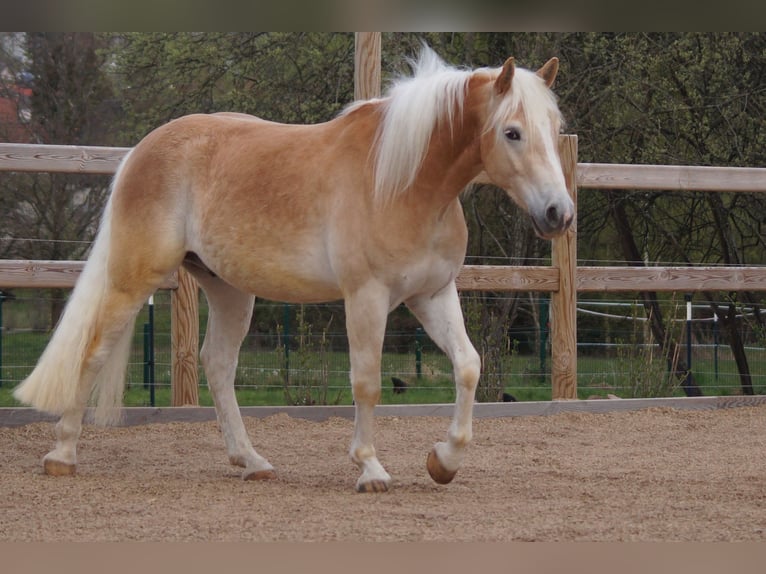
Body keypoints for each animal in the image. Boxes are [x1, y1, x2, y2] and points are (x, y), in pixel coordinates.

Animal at [14, 45, 574, 492]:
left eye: (555, 130)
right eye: (512, 132)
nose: (558, 214)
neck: (403, 182)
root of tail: (141, 150)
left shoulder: (432, 295)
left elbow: (469, 365)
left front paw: (444, 461)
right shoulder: (366, 297)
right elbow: (367, 382)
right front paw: (370, 469)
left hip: (230, 291)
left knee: (218, 366)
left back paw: (251, 461)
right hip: (136, 277)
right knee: (93, 350)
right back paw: (62, 454)